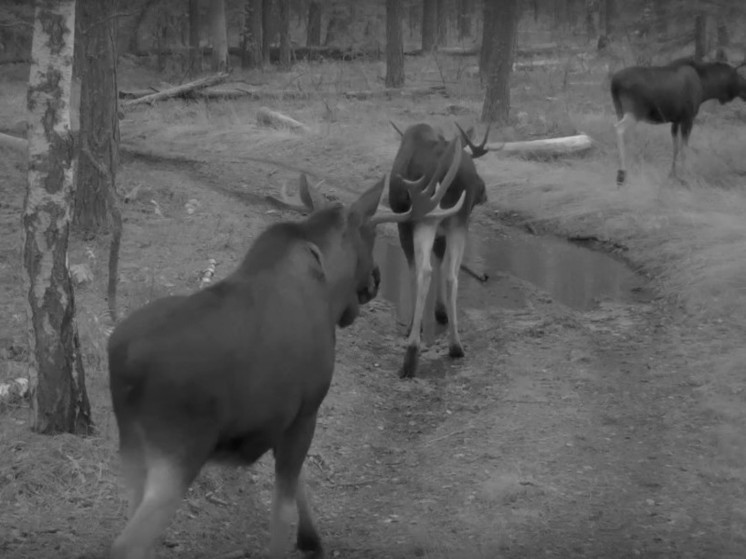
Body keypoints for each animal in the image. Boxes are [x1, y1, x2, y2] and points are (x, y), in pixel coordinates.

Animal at [107, 175, 462, 559]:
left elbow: (296, 483)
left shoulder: (285, 417)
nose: (377, 279)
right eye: (369, 233)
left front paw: (312, 539)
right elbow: (283, 509)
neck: (329, 288)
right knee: (126, 543)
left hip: (131, 448)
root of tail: (125, 362)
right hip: (180, 449)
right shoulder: (308, 407)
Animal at [390, 120, 488, 378]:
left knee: (425, 271)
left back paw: (411, 355)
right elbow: (442, 263)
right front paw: (441, 311)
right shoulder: (445, 228)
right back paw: (456, 345)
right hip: (458, 220)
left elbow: (414, 271)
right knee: (452, 274)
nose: (484, 192)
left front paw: (414, 325)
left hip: (427, 217)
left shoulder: (404, 223)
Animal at [612, 56, 744, 185]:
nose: (745, 92)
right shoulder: (688, 118)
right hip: (634, 111)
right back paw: (621, 173)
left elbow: (675, 147)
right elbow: (684, 148)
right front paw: (685, 176)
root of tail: (614, 83)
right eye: (741, 77)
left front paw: (672, 175)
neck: (705, 86)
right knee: (619, 128)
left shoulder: (676, 121)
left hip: (619, 110)